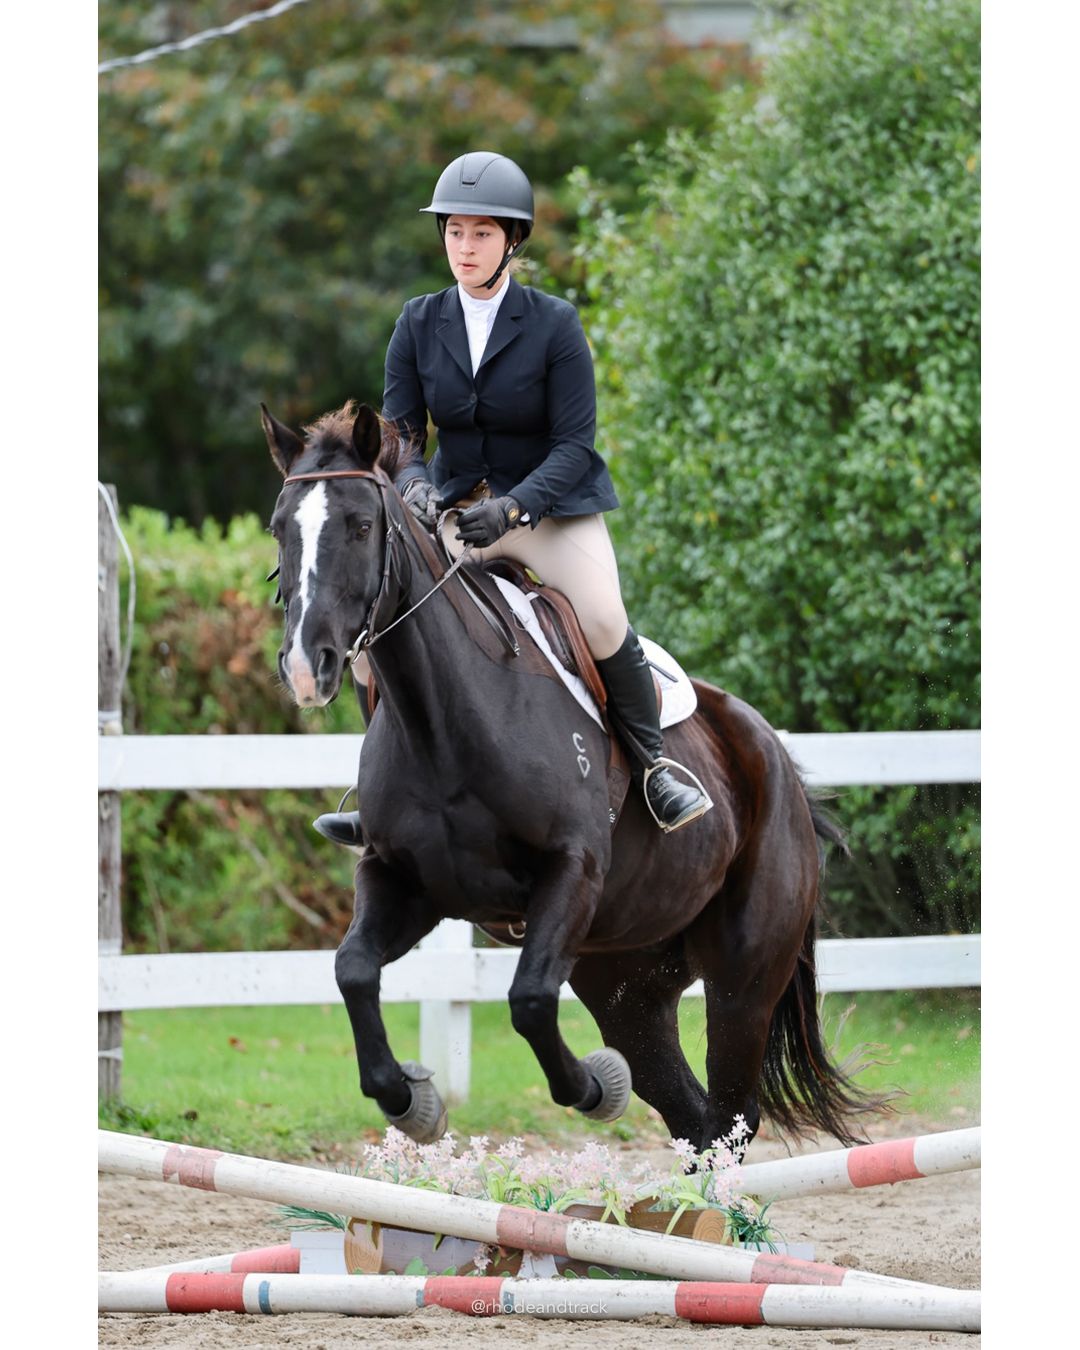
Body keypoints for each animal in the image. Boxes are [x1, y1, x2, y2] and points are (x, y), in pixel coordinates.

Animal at [262, 399, 886, 1152]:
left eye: (359, 525)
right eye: (279, 528)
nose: (306, 666)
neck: (443, 722)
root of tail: (779, 766)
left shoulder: (572, 871)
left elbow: (529, 1001)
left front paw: (595, 1087)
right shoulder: (405, 881)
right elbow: (352, 971)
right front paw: (411, 1100)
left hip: (742, 980)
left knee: (732, 1116)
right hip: (625, 976)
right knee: (694, 1116)